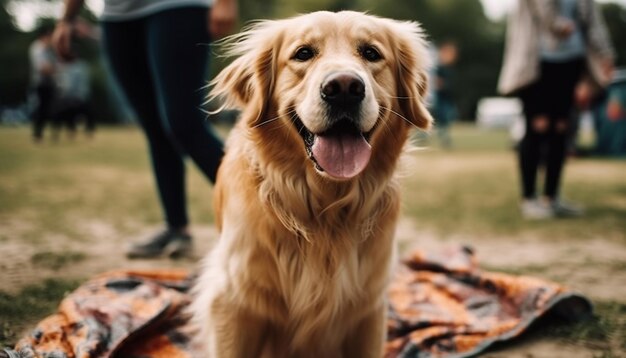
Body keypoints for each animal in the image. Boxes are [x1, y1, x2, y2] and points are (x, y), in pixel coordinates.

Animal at [191, 11, 428, 358]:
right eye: (303, 53)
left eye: (371, 53)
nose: (344, 88)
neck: (324, 210)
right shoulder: (232, 300)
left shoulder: (368, 310)